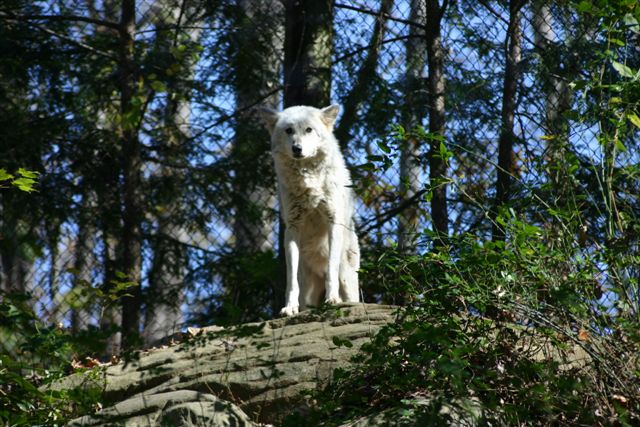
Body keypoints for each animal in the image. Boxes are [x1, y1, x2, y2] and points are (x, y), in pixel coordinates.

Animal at [258, 105, 360, 316]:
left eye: (309, 130)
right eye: (289, 130)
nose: (297, 149)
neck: (308, 180)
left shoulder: (333, 221)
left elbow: (331, 268)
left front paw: (332, 299)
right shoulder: (292, 228)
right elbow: (291, 281)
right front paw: (289, 307)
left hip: (348, 279)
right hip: (309, 289)